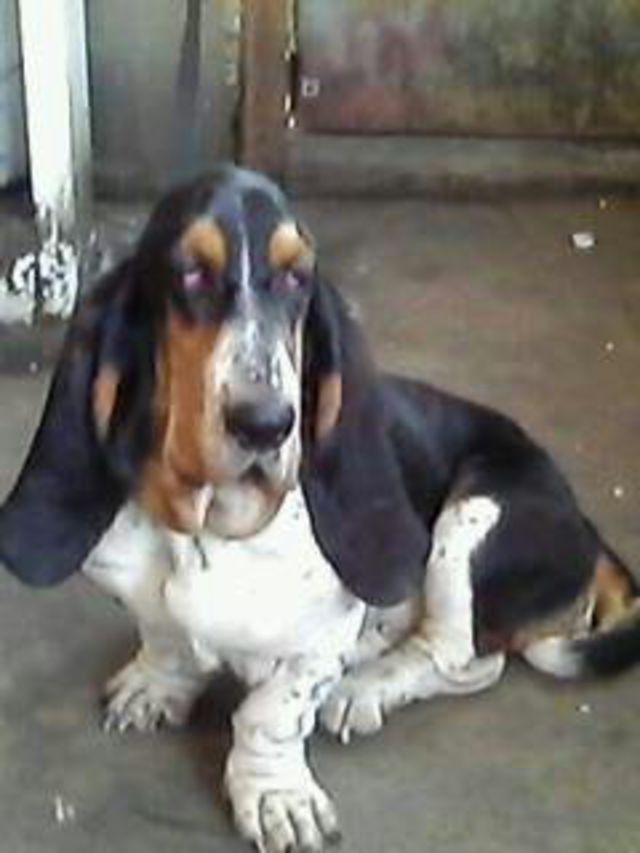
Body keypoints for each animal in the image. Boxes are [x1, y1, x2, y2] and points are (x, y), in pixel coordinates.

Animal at [1, 166, 638, 853]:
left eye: (296, 278)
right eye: (190, 273)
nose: (266, 424)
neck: (210, 530)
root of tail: (586, 525)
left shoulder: (317, 640)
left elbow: (271, 713)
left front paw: (275, 794)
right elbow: (167, 639)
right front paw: (157, 684)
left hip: (471, 520)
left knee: (462, 655)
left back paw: (361, 689)